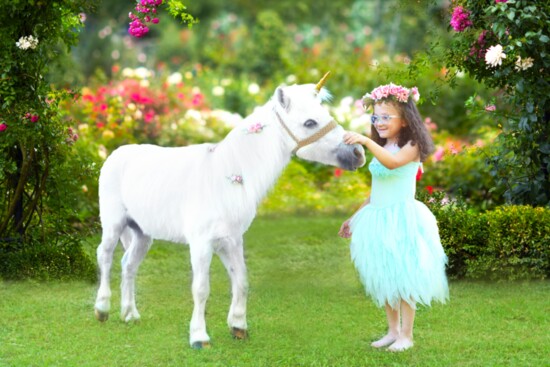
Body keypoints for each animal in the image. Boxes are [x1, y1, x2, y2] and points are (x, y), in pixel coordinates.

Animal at [94, 74, 366, 348]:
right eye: (310, 123)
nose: (358, 153)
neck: (226, 176)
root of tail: (116, 154)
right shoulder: (201, 243)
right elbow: (201, 288)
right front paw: (199, 337)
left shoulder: (232, 240)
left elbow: (241, 281)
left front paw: (238, 327)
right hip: (114, 225)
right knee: (105, 257)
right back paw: (102, 309)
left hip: (142, 234)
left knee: (129, 265)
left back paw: (130, 315)